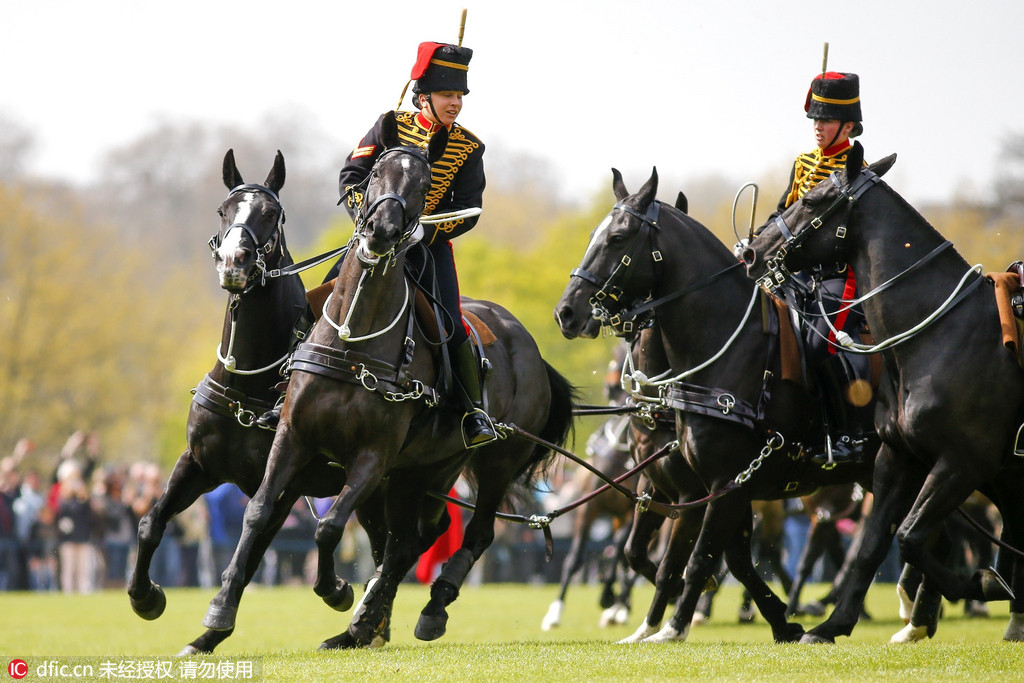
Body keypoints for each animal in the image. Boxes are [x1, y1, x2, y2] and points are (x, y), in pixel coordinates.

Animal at [126, 152, 385, 655]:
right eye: (224, 210)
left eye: (271, 213)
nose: (234, 261)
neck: (250, 381)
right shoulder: (199, 464)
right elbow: (150, 522)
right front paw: (146, 598)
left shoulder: (284, 484)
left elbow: (252, 553)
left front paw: (215, 624)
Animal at [203, 113, 581, 651]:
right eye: (376, 173)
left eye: (422, 184)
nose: (382, 230)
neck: (352, 340)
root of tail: (527, 343)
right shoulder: (295, 437)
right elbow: (258, 510)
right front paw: (218, 611)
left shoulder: (373, 457)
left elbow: (329, 527)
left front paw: (337, 591)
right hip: (424, 469)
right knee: (413, 540)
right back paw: (364, 622)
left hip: (488, 461)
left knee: (472, 533)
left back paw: (425, 609)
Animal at [557, 169, 876, 643]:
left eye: (617, 238)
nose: (567, 312)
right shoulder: (669, 487)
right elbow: (656, 555)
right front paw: (777, 618)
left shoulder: (715, 487)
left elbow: (693, 559)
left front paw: (671, 622)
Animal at [745, 141, 1024, 643]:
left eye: (812, 200)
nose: (751, 253)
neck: (934, 333)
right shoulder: (898, 458)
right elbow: (874, 544)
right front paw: (833, 624)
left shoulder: (961, 463)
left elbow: (909, 536)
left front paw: (982, 584)